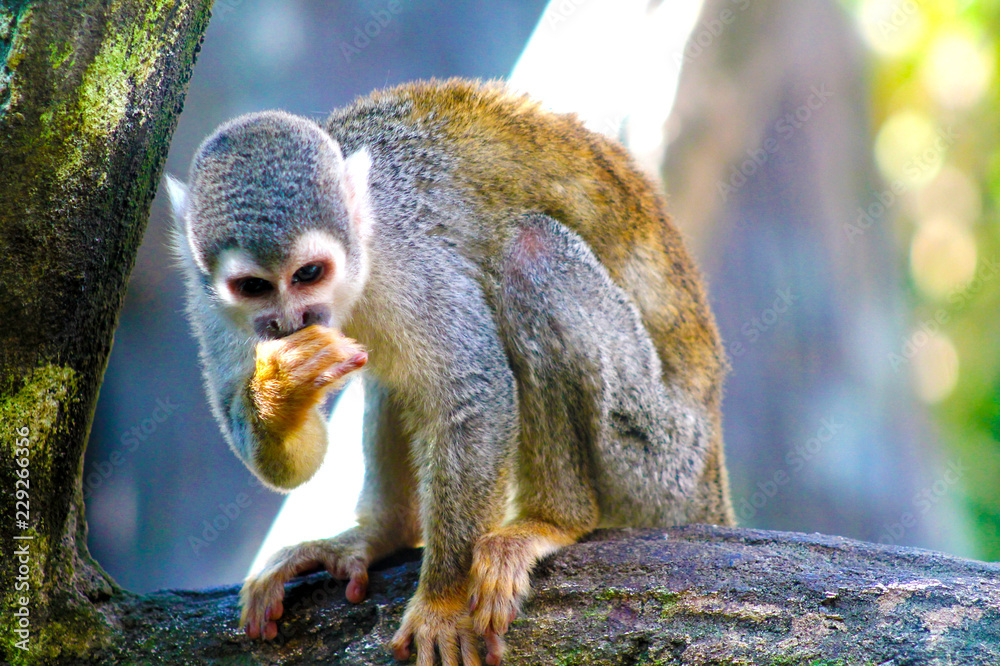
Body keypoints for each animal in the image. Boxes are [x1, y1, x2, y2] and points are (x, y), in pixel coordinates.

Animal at [169, 78, 733, 666]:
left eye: (308, 273)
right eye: (254, 287)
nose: (290, 321)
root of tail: (709, 471)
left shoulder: (412, 261)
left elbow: (471, 394)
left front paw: (443, 602)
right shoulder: (205, 298)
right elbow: (285, 462)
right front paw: (282, 388)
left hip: (653, 452)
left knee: (531, 254)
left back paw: (554, 520)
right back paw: (382, 534)